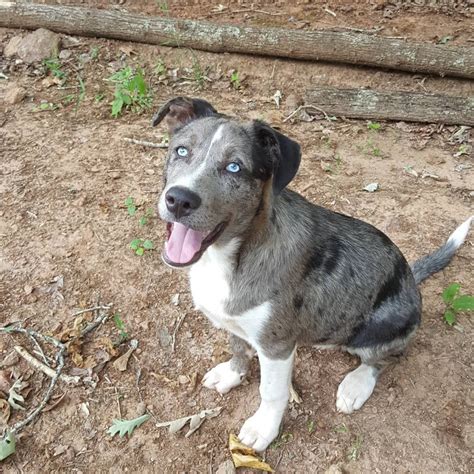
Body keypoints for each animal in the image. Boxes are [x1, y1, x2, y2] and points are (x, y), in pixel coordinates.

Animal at [152, 96, 470, 452]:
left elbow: (272, 392)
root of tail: (412, 279)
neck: (230, 256)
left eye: (235, 167)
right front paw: (232, 374)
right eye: (181, 151)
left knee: (384, 358)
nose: (179, 200)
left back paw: (356, 384)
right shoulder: (235, 322)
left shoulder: (275, 346)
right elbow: (238, 348)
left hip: (378, 327)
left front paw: (264, 428)